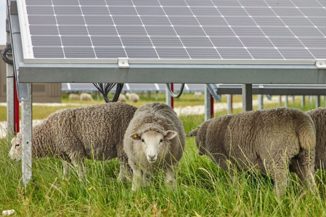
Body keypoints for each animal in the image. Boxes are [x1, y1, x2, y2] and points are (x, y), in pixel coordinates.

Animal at [8, 102, 136, 181]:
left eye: (17, 145)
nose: (10, 158)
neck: (50, 133)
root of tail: (135, 109)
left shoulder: (74, 149)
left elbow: (79, 169)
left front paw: (82, 183)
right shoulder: (64, 154)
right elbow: (66, 168)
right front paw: (65, 180)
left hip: (122, 145)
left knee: (124, 166)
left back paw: (120, 181)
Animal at [188, 107, 316, 196]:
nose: (198, 153)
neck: (207, 134)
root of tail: (300, 120)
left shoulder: (224, 160)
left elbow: (232, 176)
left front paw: (234, 188)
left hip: (276, 156)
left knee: (281, 180)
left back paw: (277, 197)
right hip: (306, 155)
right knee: (308, 177)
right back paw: (311, 196)